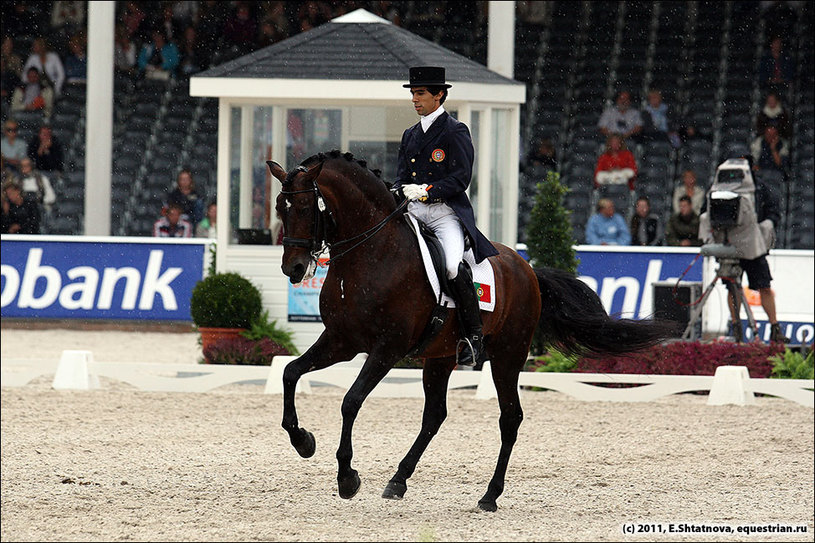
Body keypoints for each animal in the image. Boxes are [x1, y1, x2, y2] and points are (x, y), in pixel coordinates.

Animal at [268, 151, 676, 512]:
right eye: (279, 208)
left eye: (305, 208)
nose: (294, 268)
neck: (371, 252)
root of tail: (528, 269)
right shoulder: (341, 340)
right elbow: (290, 372)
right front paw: (303, 441)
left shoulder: (387, 348)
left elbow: (350, 401)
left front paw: (347, 478)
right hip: (440, 356)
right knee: (435, 415)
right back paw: (398, 481)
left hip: (509, 355)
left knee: (509, 418)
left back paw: (489, 496)